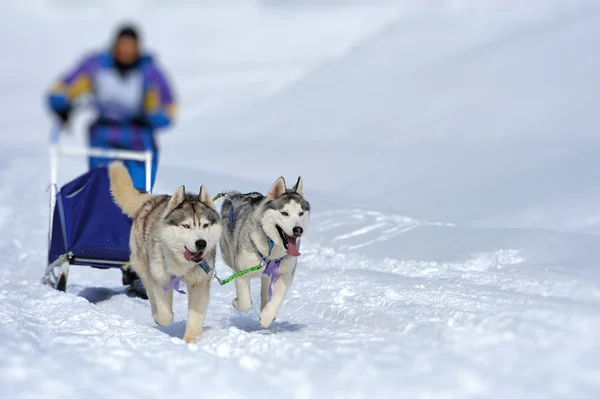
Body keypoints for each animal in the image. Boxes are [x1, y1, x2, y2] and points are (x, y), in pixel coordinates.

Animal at [107, 162, 220, 344]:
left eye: (205, 225)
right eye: (186, 226)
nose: (201, 243)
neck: (182, 264)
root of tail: (152, 199)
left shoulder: (199, 284)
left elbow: (195, 317)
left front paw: (190, 341)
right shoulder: (161, 280)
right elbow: (165, 315)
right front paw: (161, 319)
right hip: (145, 268)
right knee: (149, 291)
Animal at [221, 177, 314, 330]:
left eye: (301, 213)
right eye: (284, 213)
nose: (298, 230)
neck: (272, 249)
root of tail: (235, 196)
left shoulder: (285, 274)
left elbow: (278, 297)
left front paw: (267, 316)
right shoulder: (241, 271)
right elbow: (245, 303)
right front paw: (236, 302)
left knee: (265, 282)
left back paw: (265, 305)